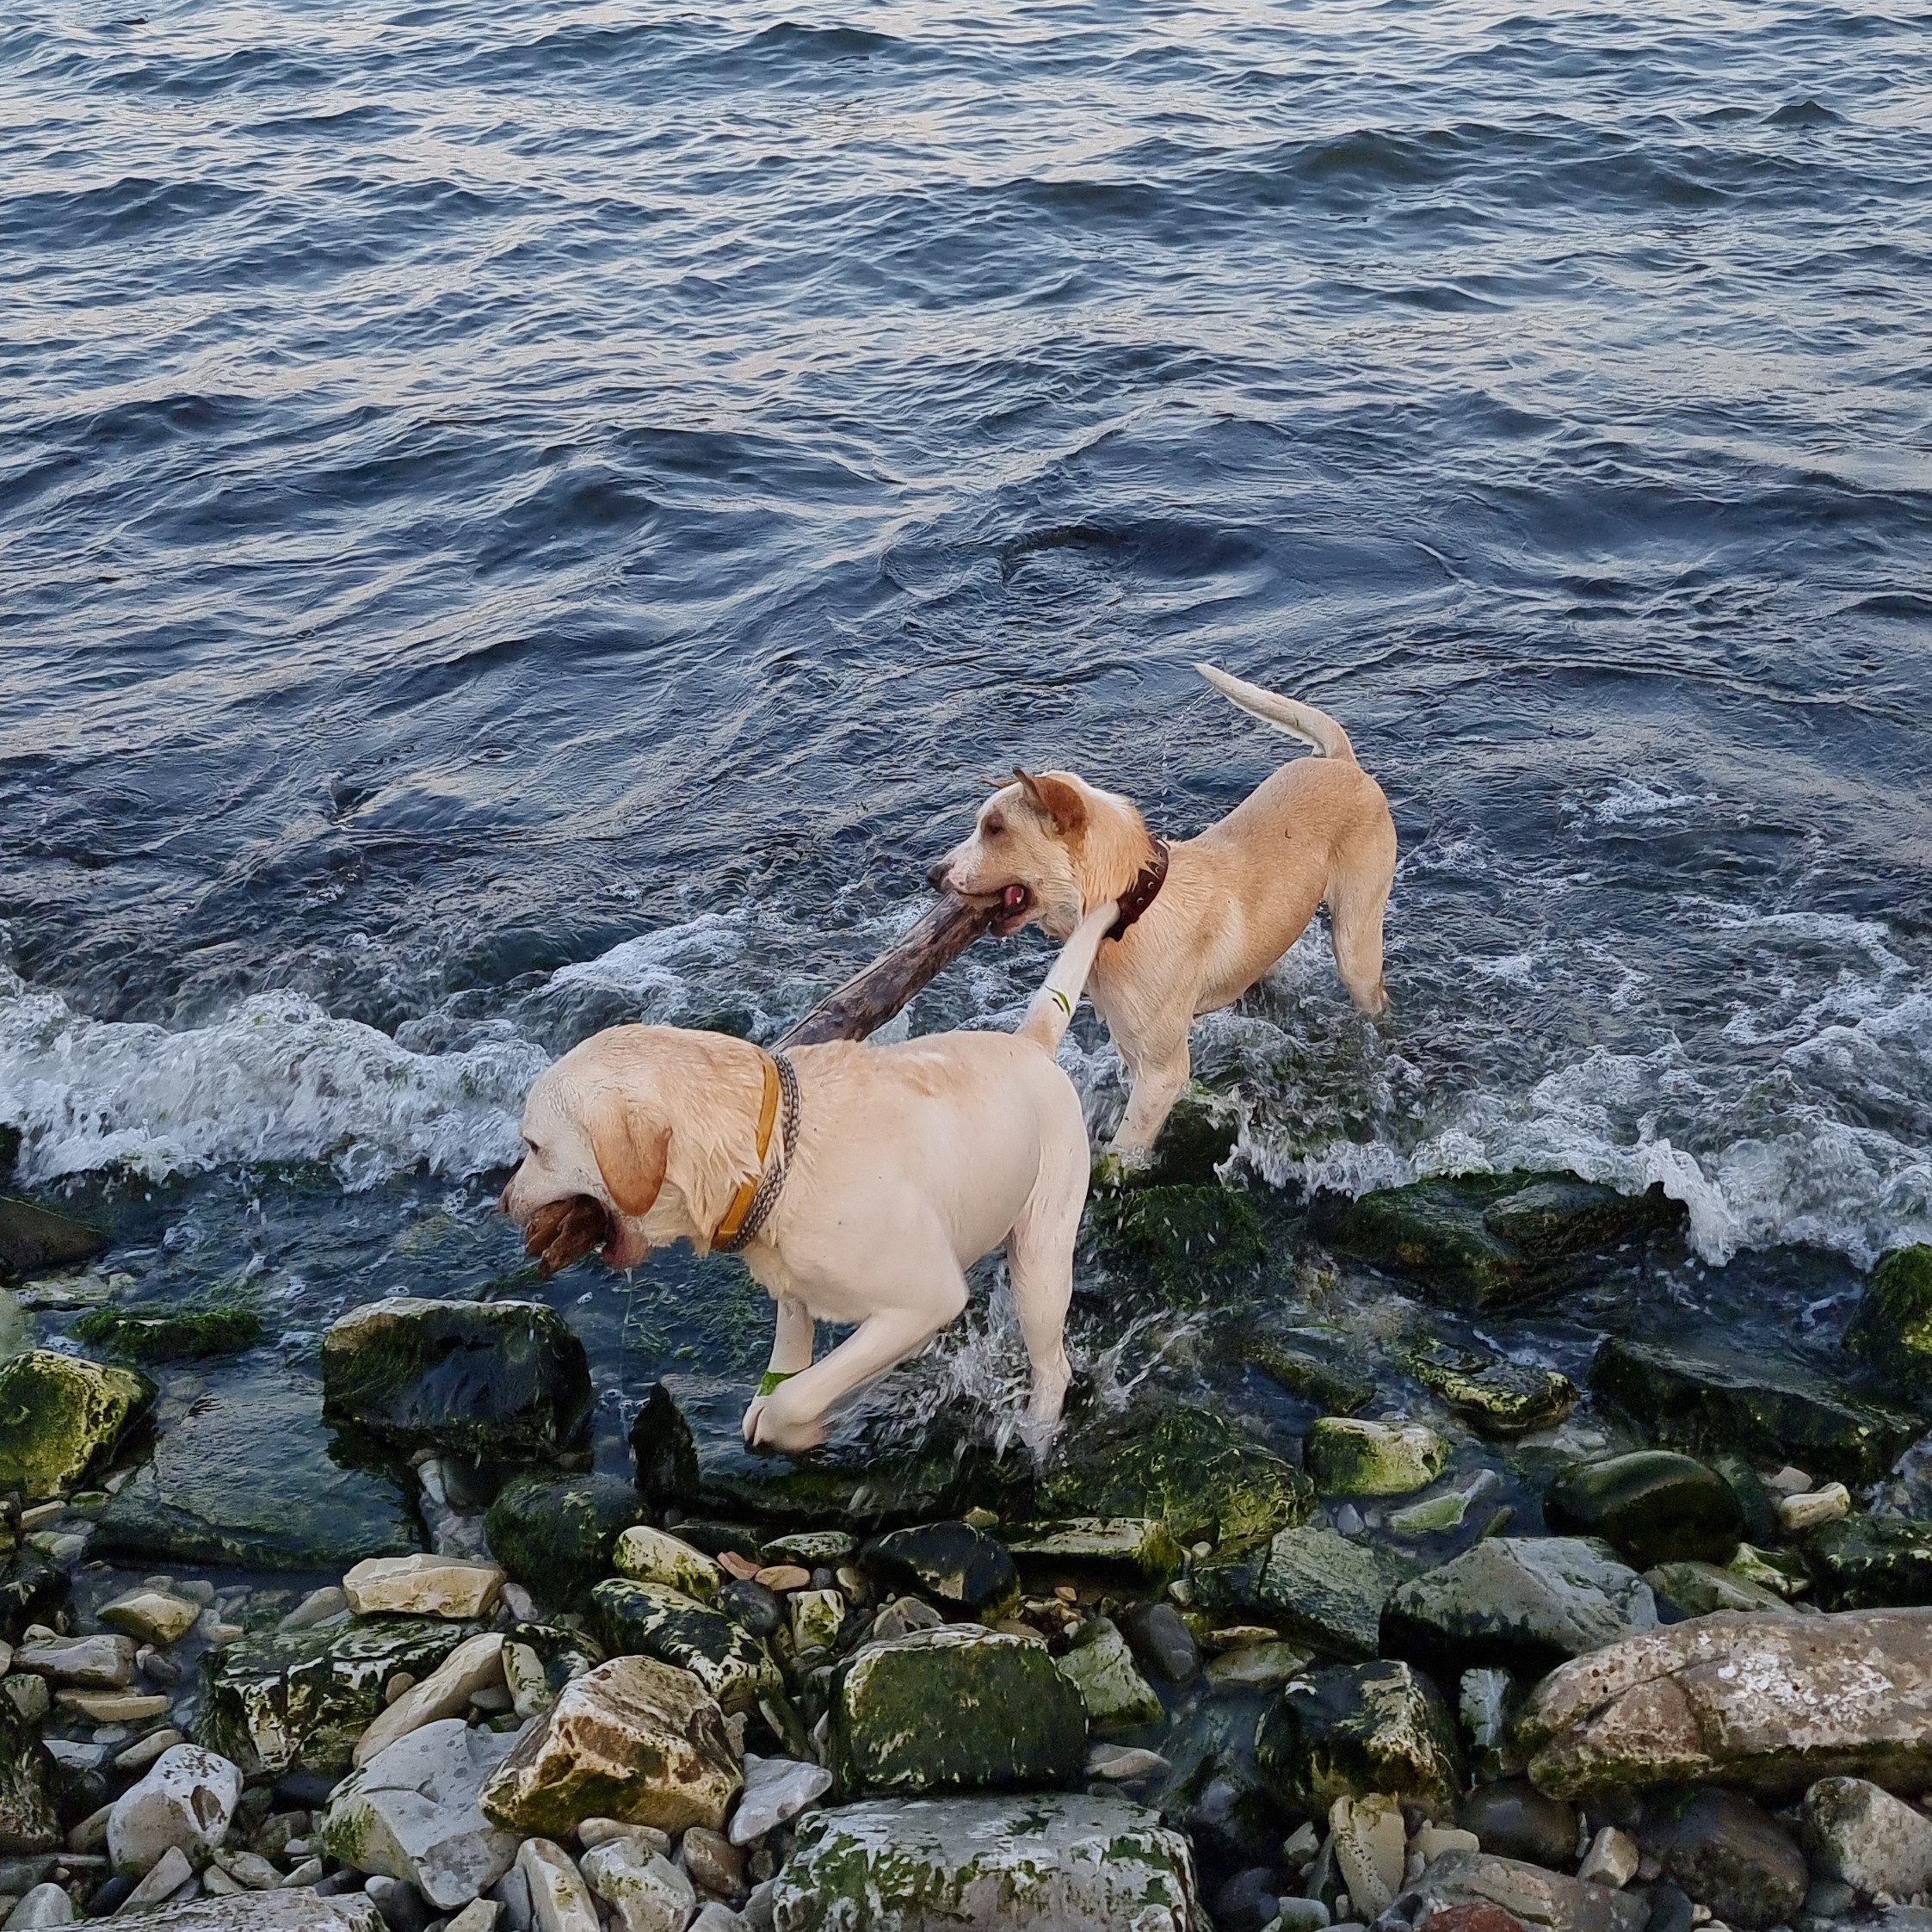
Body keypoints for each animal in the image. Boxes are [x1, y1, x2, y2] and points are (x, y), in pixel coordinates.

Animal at [502, 900, 1120, 1453]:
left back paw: (1038, 1431)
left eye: (534, 1146)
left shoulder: (925, 1300)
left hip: (1040, 1259)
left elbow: (793, 1398)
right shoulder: (795, 1288)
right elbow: (790, 1364)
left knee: (1054, 1365)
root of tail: (1029, 1042)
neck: (775, 1155)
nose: (504, 1202)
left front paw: (799, 1417)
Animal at [931, 668, 1398, 1158]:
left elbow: (1126, 1148)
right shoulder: (1131, 1049)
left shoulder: (1161, 1074)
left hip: (1355, 946)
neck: (1130, 909)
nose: (932, 874)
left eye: (995, 829)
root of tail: (1344, 764)